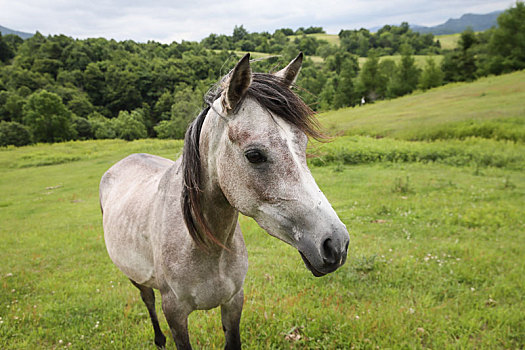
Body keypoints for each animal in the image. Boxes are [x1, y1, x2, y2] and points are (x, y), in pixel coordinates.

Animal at [100, 52, 350, 350]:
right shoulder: (174, 313)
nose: (336, 244)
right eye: (254, 155)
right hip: (136, 277)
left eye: (302, 144)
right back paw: (159, 340)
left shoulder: (233, 301)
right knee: (147, 298)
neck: (205, 245)